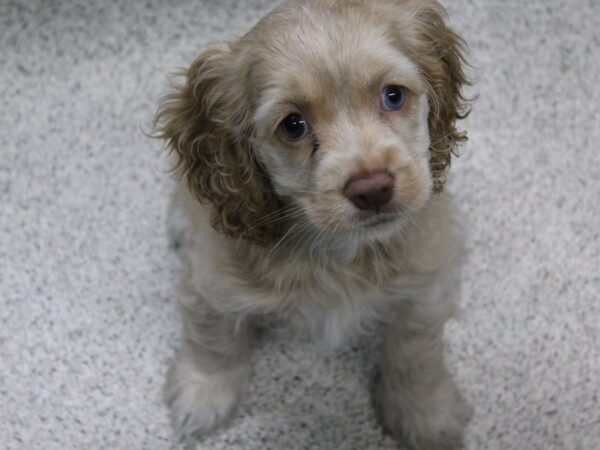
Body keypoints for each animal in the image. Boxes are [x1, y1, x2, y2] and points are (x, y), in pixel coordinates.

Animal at [156, 1, 474, 448]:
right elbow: (213, 340)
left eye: (393, 95)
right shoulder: (212, 284)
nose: (372, 189)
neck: (338, 253)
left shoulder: (423, 291)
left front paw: (426, 414)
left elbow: (416, 355)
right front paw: (202, 394)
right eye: (293, 125)